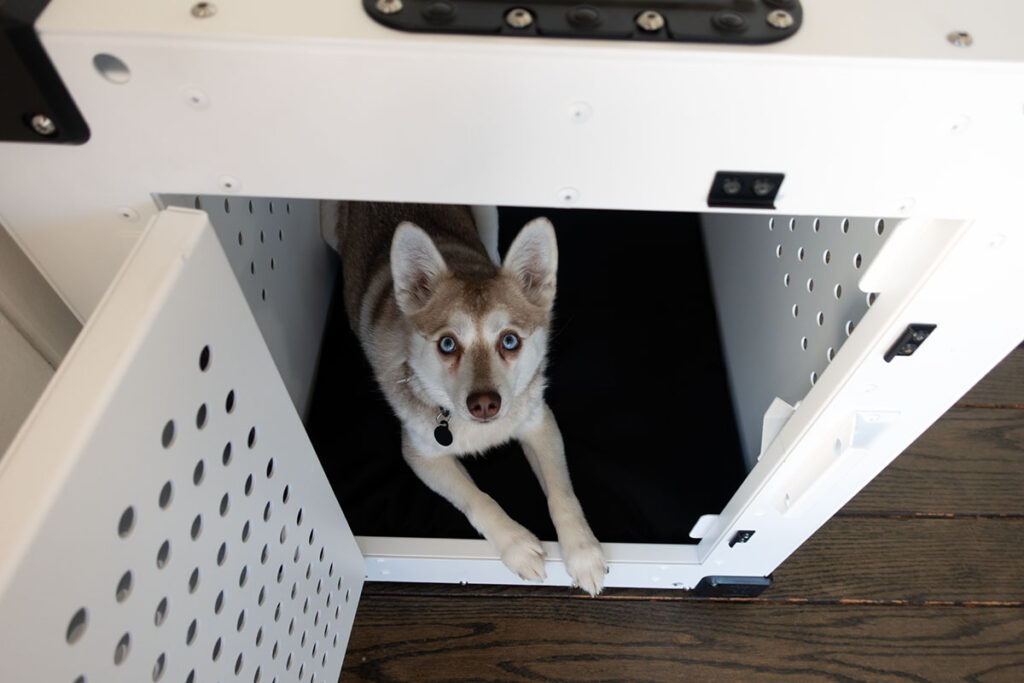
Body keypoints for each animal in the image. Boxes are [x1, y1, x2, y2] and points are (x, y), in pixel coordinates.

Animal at [323, 201, 602, 593]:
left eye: (510, 340)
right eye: (447, 344)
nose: (484, 403)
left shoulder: (539, 422)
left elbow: (563, 494)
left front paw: (583, 553)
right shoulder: (422, 455)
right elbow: (477, 499)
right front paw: (518, 547)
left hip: (487, 212)